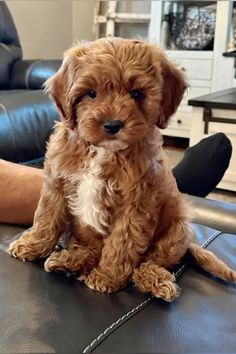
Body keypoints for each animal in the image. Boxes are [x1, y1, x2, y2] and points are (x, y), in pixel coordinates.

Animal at [8, 38, 235, 302]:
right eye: (91, 93)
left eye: (136, 94)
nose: (112, 125)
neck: (101, 151)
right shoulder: (57, 183)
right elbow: (46, 217)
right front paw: (31, 246)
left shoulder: (136, 205)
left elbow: (122, 244)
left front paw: (106, 277)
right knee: (92, 250)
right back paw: (69, 261)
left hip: (178, 229)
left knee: (151, 260)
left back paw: (154, 280)